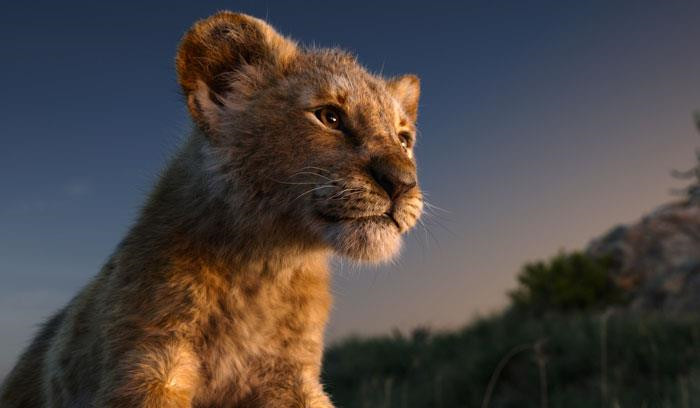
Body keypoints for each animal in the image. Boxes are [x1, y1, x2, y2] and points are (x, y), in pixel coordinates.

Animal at [0, 11, 423, 407]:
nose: (402, 182)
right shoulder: (147, 363)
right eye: (330, 117)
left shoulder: (290, 376)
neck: (265, 269)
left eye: (404, 139)